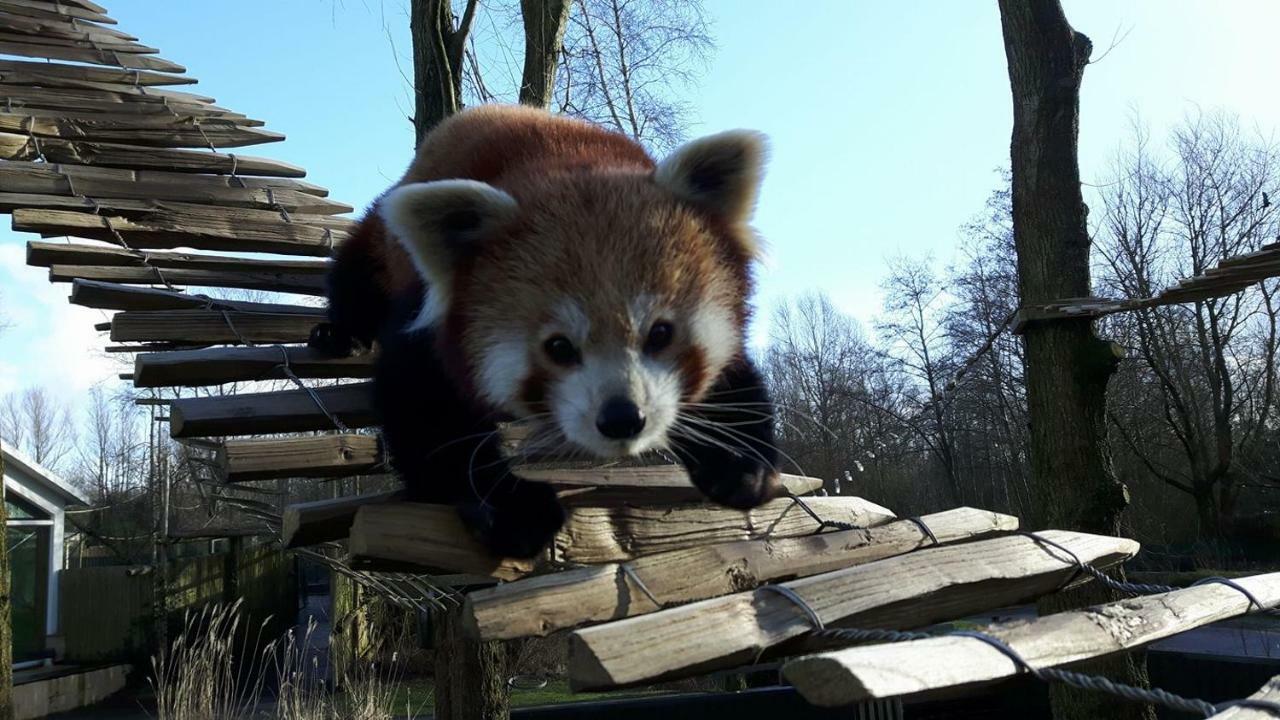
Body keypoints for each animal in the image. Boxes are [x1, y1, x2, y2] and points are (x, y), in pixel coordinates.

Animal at [320, 105, 778, 556]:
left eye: (661, 333)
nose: (622, 419)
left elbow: (731, 372)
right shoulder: (427, 319)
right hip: (382, 242)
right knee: (357, 270)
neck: (566, 159)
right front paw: (511, 507)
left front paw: (739, 460)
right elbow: (423, 409)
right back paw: (338, 333)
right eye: (559, 347)